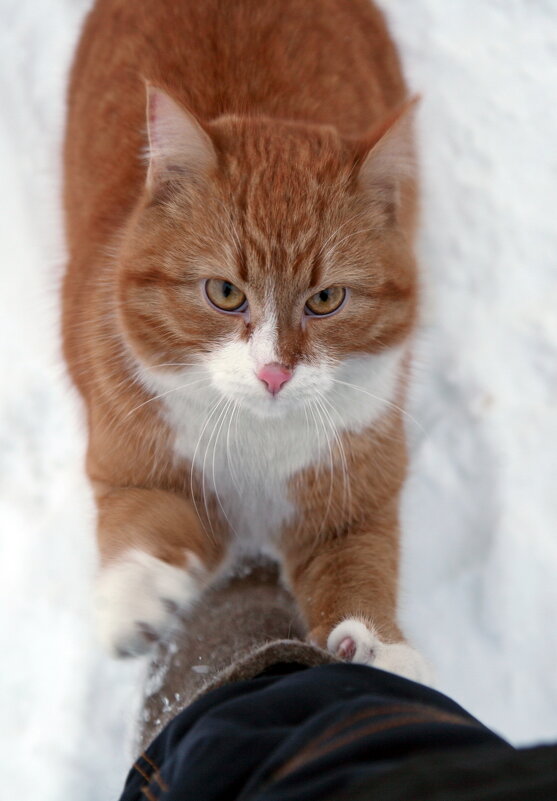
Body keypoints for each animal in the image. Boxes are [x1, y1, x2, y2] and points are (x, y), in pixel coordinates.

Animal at [64, 0, 430, 680]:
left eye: (325, 299)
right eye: (225, 292)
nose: (274, 372)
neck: (258, 442)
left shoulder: (357, 498)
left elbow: (360, 567)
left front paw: (378, 645)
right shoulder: (128, 463)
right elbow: (144, 516)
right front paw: (140, 595)